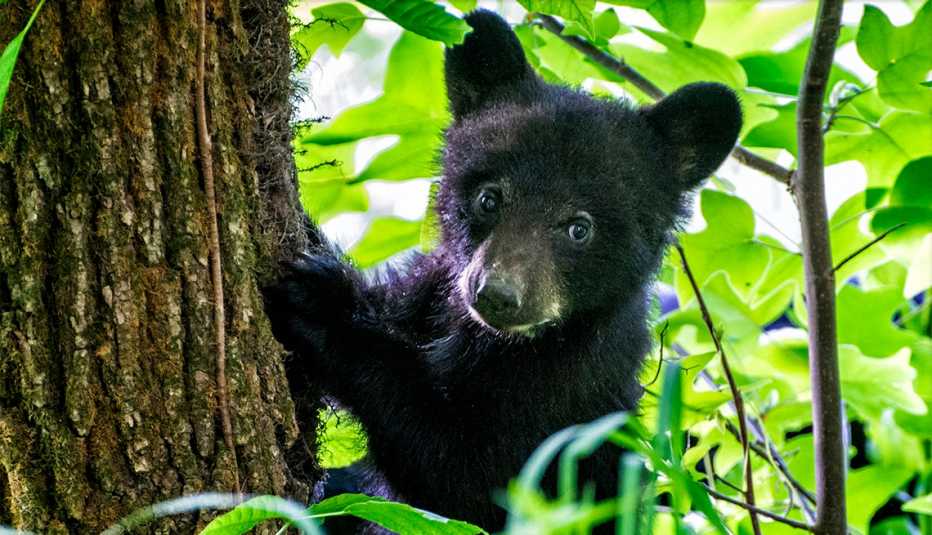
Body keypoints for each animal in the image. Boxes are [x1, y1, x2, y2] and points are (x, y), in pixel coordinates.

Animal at [264, 9, 742, 533]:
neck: (501, 344)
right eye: (489, 198)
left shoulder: (566, 402)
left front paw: (324, 307)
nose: (497, 294)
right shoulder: (427, 295)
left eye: (579, 227)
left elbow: (464, 476)